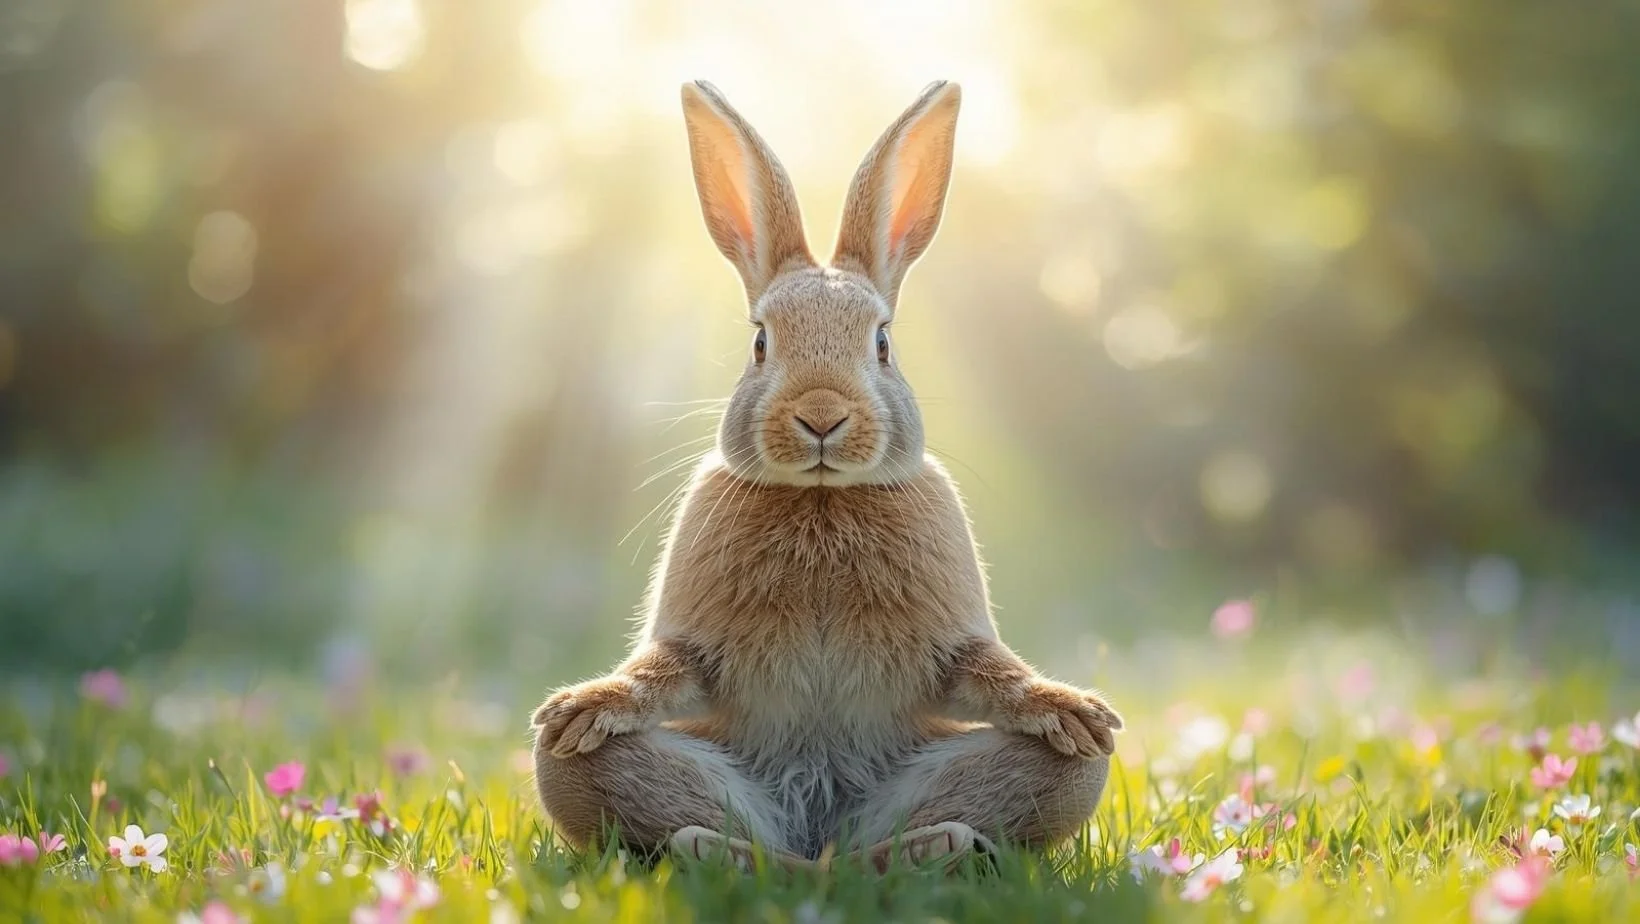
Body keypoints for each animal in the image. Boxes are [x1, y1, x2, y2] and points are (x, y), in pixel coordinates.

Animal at [531, 79, 1122, 870]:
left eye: (883, 343)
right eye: (759, 342)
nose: (820, 416)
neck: (821, 499)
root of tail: (818, 831)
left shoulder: (953, 649)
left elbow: (992, 674)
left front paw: (1067, 710)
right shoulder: (693, 650)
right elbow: (658, 672)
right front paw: (588, 706)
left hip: (1053, 778)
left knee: (1041, 778)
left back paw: (926, 848)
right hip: (582, 772)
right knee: (608, 779)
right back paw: (726, 852)